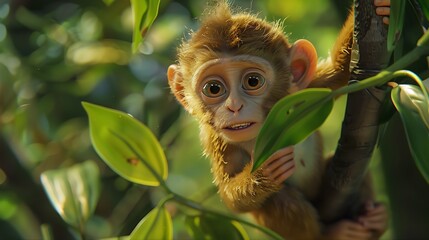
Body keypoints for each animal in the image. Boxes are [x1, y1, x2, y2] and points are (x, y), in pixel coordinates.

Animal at [168, 0, 392, 239]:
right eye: (213, 88)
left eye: (253, 81)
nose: (234, 106)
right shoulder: (216, 140)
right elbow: (231, 200)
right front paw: (262, 173)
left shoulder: (301, 93)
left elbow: (339, 72)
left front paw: (383, 8)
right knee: (279, 199)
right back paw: (329, 234)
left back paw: (376, 221)